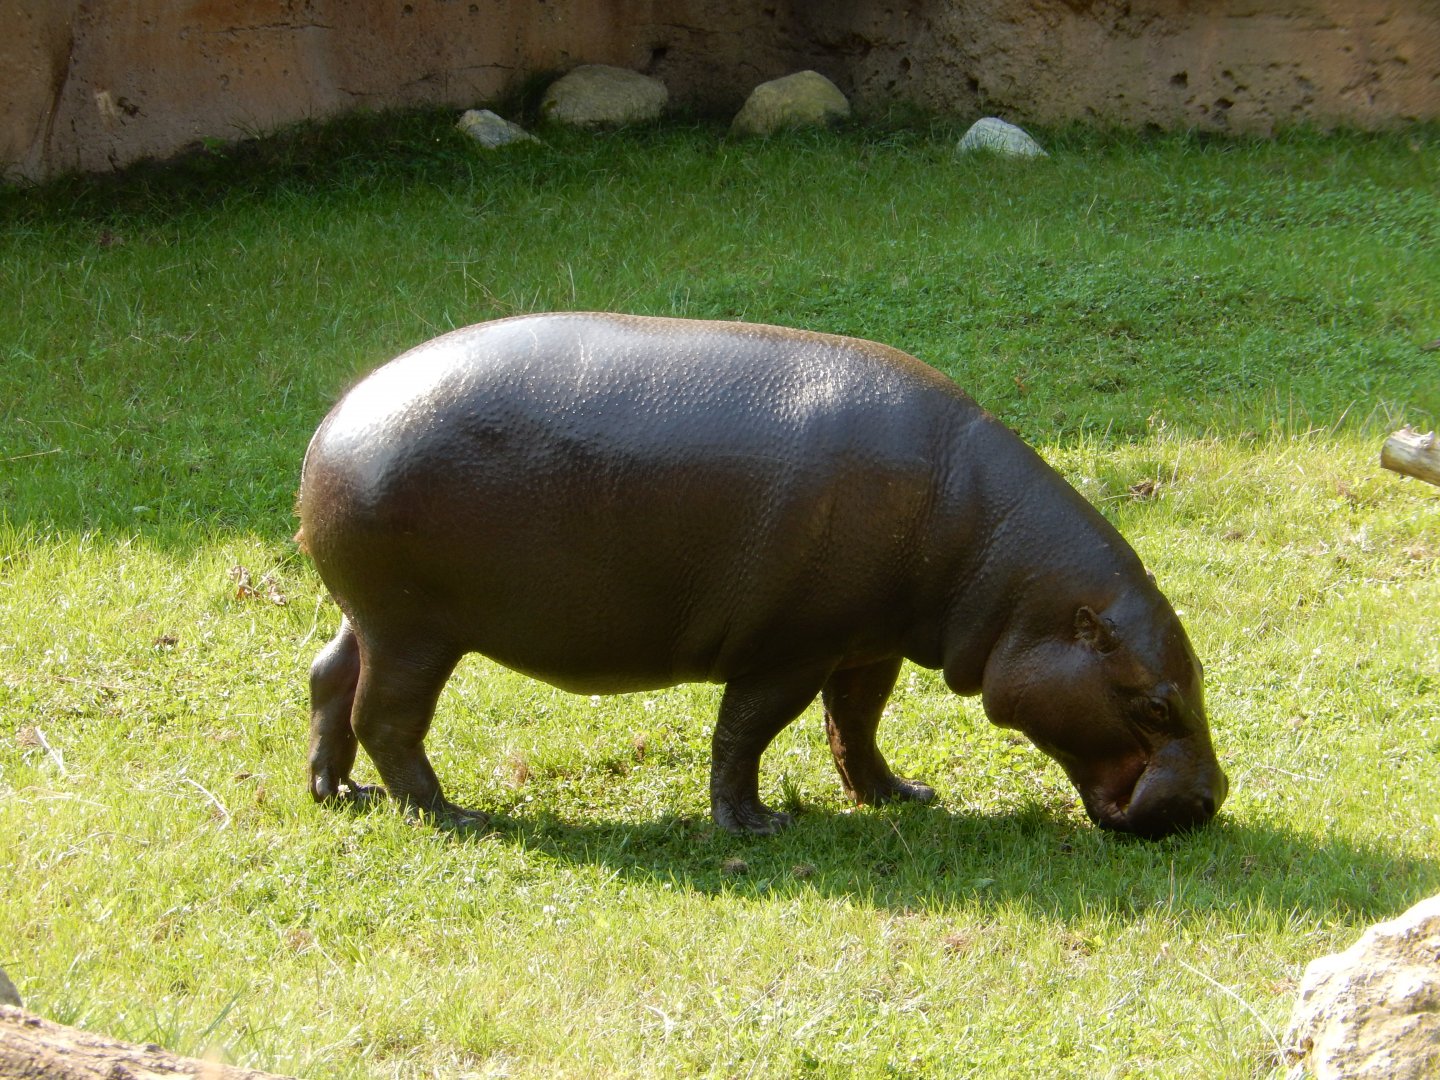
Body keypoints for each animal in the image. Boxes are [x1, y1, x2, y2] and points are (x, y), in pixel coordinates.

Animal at [297, 312, 1227, 839]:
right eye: (1155, 704)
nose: (1211, 799)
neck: (1003, 572)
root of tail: (331, 424)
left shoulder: (868, 643)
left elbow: (855, 725)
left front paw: (900, 796)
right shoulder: (790, 649)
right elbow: (747, 731)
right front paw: (754, 827)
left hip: (370, 614)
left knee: (329, 677)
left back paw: (337, 793)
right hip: (416, 627)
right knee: (388, 716)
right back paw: (452, 816)